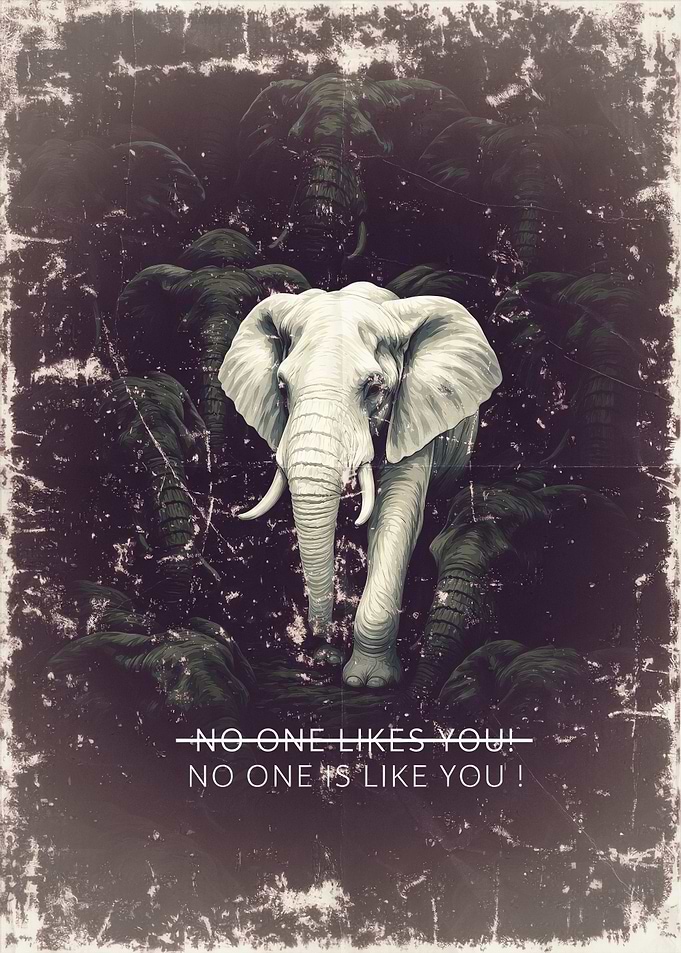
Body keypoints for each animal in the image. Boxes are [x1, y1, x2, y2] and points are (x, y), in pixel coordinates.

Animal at [218, 282, 502, 689]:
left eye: (373, 387)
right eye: (282, 387)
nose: (318, 642)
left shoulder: (413, 413)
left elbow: (396, 513)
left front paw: (367, 682)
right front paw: (336, 663)